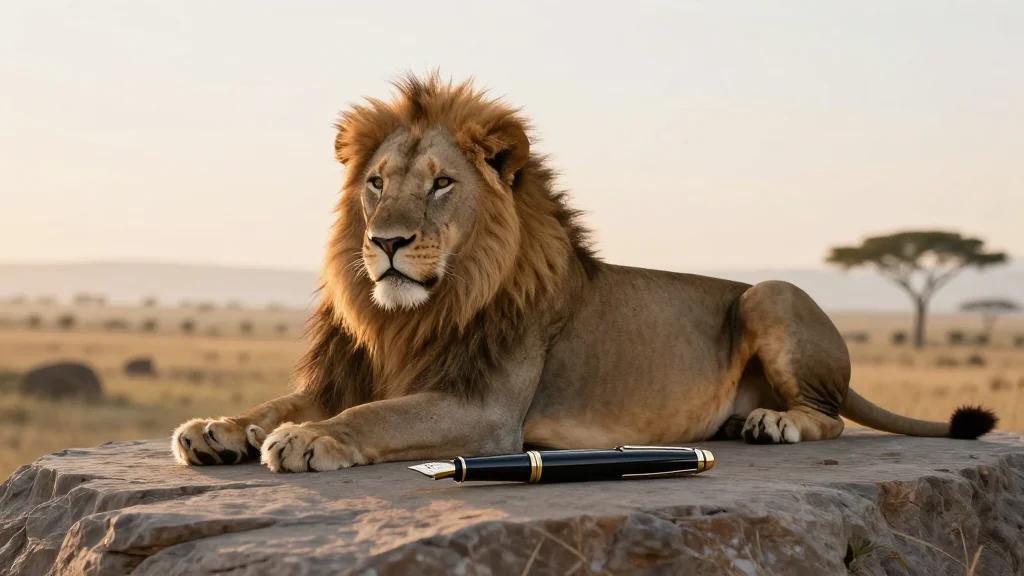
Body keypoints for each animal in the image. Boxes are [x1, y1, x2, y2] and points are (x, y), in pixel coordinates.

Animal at [172, 74, 996, 473]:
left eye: (442, 185)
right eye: (375, 183)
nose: (387, 243)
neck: (413, 313)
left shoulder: (487, 411)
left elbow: (376, 415)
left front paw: (311, 440)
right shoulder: (356, 368)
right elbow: (281, 401)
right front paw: (219, 428)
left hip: (770, 294)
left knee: (831, 417)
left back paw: (775, 422)